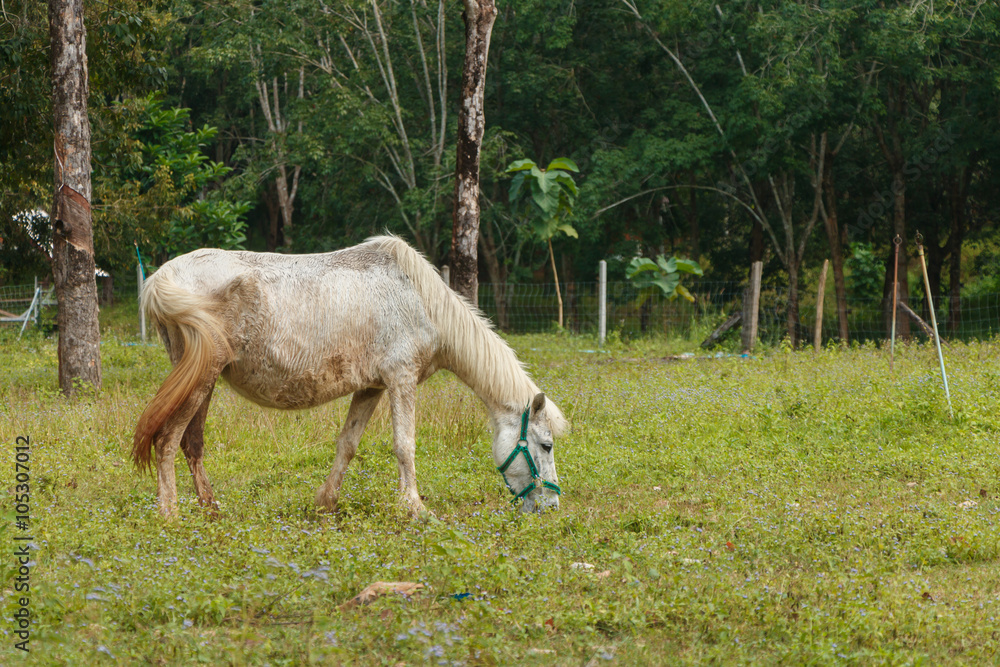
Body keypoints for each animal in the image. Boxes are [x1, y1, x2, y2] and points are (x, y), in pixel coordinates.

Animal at [134, 237, 572, 520]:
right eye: (546, 445)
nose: (551, 508)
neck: (419, 299)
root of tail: (161, 278)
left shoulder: (371, 388)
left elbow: (347, 444)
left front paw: (325, 502)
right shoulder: (400, 380)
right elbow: (404, 446)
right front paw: (415, 507)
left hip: (203, 382)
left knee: (192, 443)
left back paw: (210, 508)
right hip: (200, 381)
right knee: (168, 440)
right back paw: (170, 513)